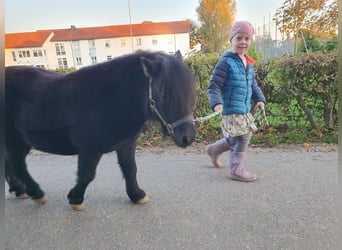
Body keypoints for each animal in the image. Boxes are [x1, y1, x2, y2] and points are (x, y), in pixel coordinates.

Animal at [6, 51, 196, 211]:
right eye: (164, 94)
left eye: (190, 91)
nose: (188, 137)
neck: (110, 99)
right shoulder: (90, 149)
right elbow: (86, 175)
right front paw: (76, 199)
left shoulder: (126, 145)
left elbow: (130, 169)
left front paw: (137, 195)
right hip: (15, 140)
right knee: (18, 165)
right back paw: (35, 192)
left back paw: (19, 189)